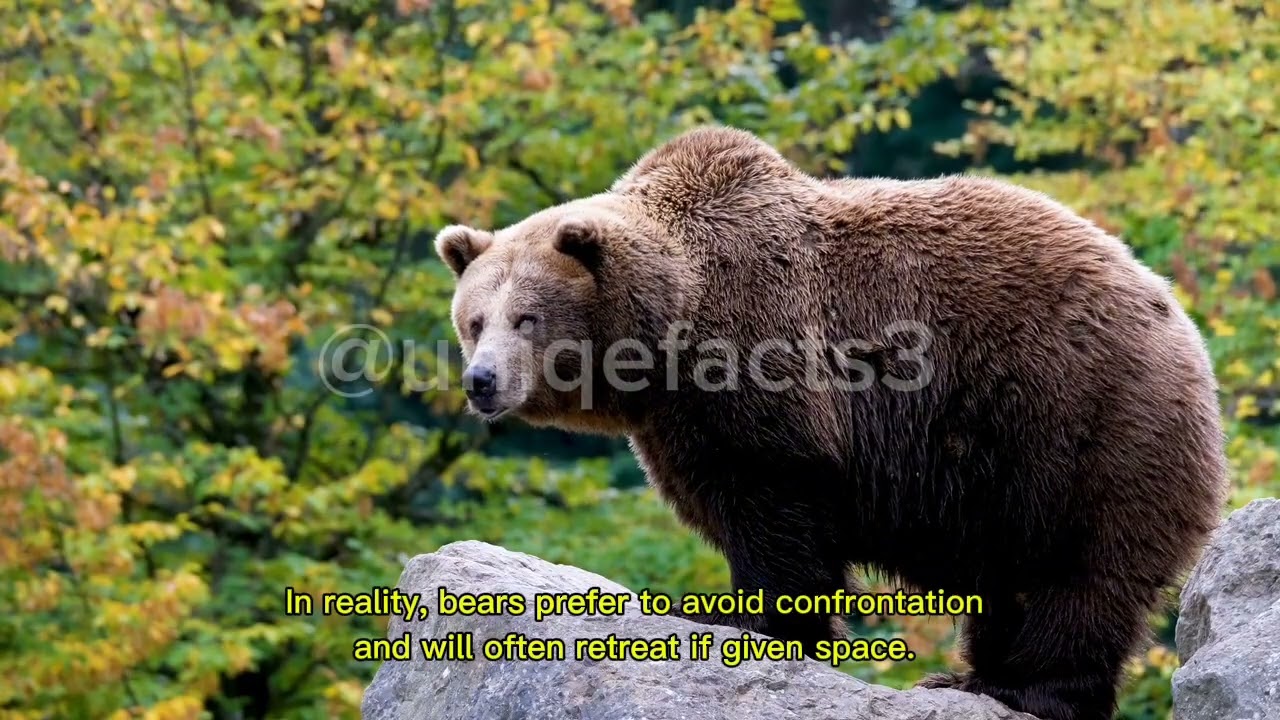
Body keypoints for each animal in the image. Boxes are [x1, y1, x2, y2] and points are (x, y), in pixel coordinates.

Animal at [434, 126, 1228, 720]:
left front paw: (743, 620)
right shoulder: (680, 422)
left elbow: (776, 511)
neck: (669, 342)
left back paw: (1025, 687)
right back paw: (969, 674)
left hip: (1081, 420)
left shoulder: (768, 370)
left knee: (1083, 572)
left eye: (527, 317)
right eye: (474, 320)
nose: (482, 381)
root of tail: (1173, 313)